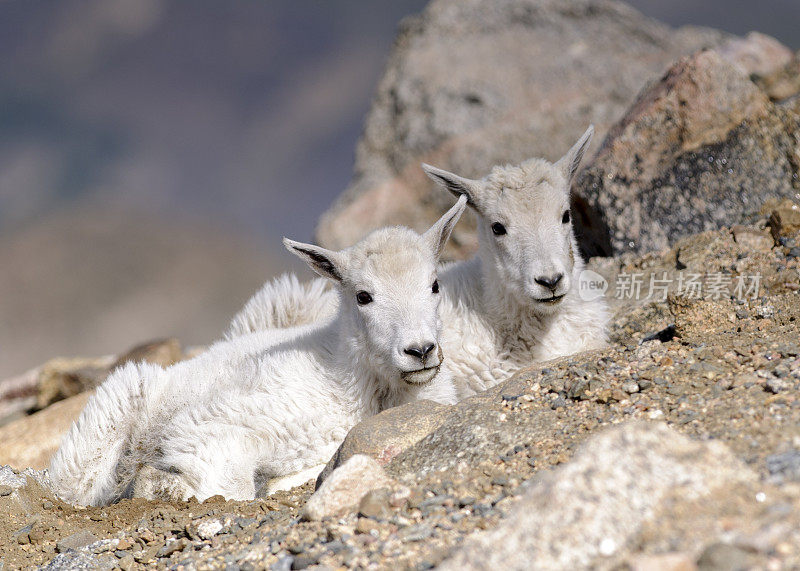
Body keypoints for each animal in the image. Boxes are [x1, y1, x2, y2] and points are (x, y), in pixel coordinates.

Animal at [47, 199, 466, 508]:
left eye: (434, 285)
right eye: (364, 296)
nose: (420, 350)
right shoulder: (220, 425)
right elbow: (229, 488)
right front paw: (163, 484)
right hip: (113, 412)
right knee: (74, 487)